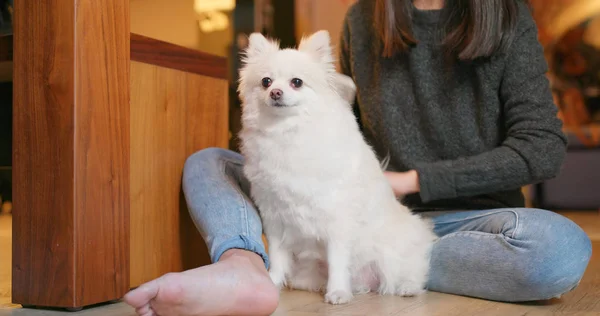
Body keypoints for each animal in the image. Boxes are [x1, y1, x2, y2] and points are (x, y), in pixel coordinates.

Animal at [237, 30, 438, 304]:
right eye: (266, 82)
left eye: (296, 82)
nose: (275, 92)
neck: (287, 133)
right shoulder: (275, 218)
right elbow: (277, 256)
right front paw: (272, 281)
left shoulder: (337, 220)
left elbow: (338, 260)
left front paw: (339, 292)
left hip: (394, 254)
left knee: (409, 272)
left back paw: (406, 287)